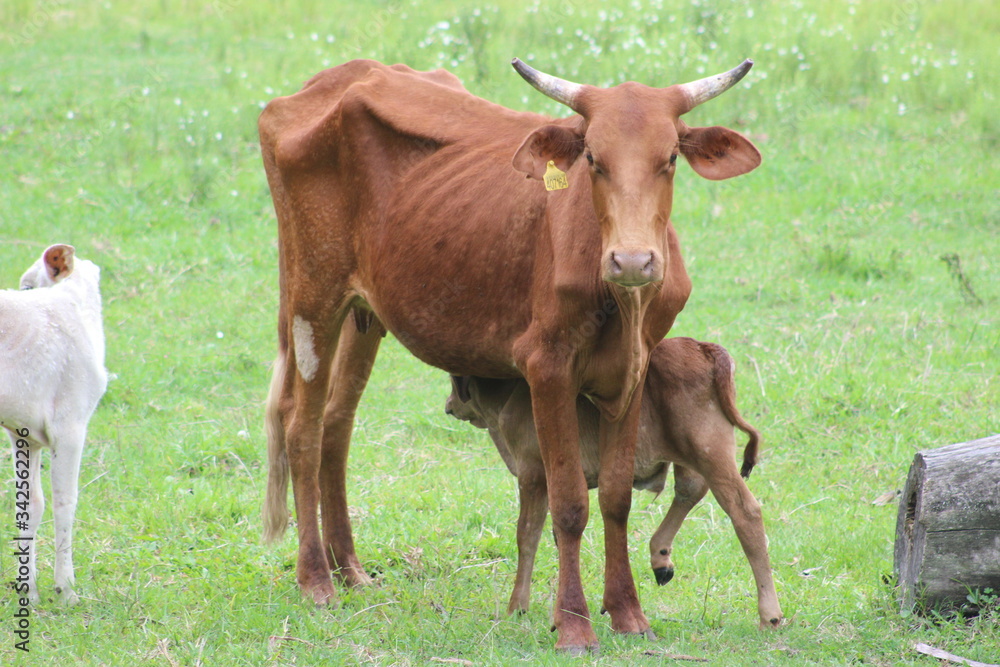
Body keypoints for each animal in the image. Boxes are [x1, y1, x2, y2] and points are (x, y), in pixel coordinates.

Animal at [0, 247, 106, 604]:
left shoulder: (23, 432)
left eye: (28, 286)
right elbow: (65, 501)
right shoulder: (70, 424)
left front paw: (28, 590)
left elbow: (31, 504)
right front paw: (66, 589)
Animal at [446, 340, 780, 628]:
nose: (449, 405)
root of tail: (703, 347)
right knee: (689, 490)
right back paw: (660, 558)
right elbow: (559, 534)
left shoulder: (532, 475)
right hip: (692, 455)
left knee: (745, 512)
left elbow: (527, 535)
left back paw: (770, 615)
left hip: (711, 453)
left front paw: (517, 606)